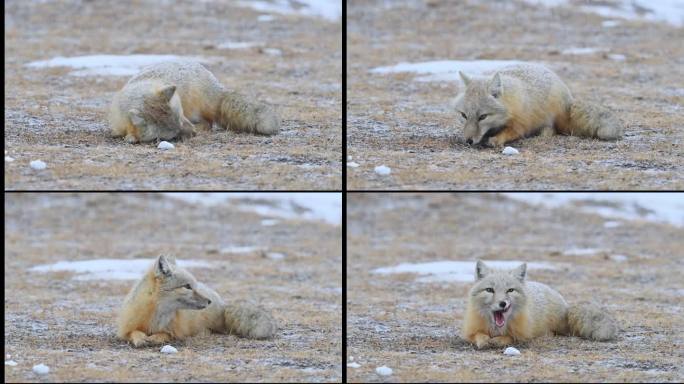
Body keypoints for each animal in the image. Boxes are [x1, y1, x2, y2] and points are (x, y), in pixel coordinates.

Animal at [108, 61, 280, 144]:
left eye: (180, 119)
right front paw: (130, 136)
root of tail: (215, 84)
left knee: (209, 123)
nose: (194, 133)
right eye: (174, 134)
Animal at [117, 255, 276, 348]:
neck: (157, 316)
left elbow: (164, 335)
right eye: (187, 286)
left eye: (194, 285)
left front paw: (155, 338)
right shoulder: (127, 328)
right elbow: (134, 332)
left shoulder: (175, 332)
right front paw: (140, 338)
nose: (208, 301)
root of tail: (222, 304)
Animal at [456, 63, 624, 147]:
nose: (468, 141)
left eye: (483, 117)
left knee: (552, 130)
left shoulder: (521, 123)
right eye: (464, 115)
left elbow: (512, 132)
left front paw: (496, 140)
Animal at [462, 260, 616, 350]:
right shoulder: (471, 331)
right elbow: (478, 335)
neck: (496, 330)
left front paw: (498, 340)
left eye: (510, 290)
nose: (502, 303)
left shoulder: (522, 335)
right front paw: (483, 341)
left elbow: (509, 337)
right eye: (490, 290)